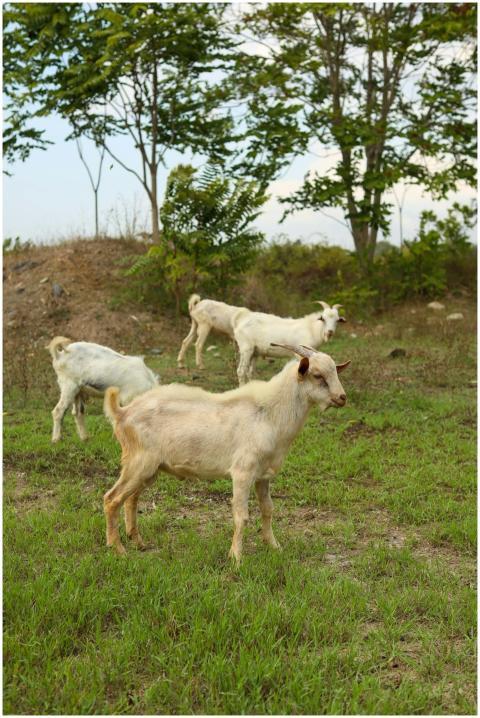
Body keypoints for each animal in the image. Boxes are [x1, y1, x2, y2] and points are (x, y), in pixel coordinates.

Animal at [103, 344, 350, 563]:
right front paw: (236, 558)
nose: (342, 397)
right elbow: (242, 516)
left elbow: (268, 509)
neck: (269, 414)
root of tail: (122, 412)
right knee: (112, 499)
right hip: (139, 462)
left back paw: (138, 542)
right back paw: (118, 549)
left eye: (335, 371)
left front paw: (274, 546)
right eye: (317, 375)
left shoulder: (263, 475)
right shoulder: (242, 472)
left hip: (149, 469)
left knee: (131, 499)